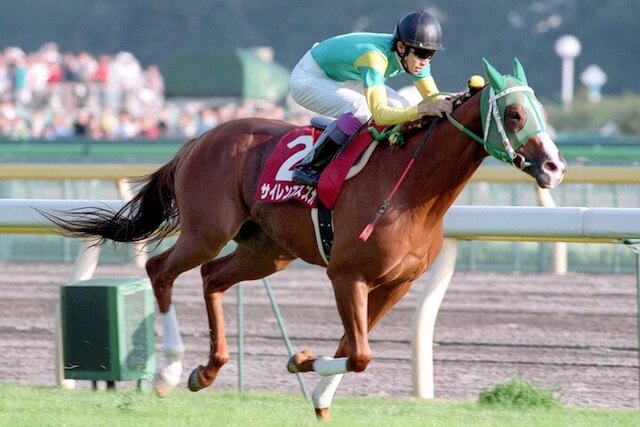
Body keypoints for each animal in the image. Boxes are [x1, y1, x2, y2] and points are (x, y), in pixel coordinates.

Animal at [45, 58, 566, 420]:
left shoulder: (396, 285)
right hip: (207, 230)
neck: (411, 190)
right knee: (161, 269)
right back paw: (170, 370)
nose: (555, 166)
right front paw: (301, 362)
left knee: (212, 277)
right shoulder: (347, 275)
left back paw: (208, 369)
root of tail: (200, 139)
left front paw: (314, 387)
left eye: (539, 109)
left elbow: (352, 348)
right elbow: (359, 353)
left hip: (266, 250)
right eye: (514, 113)